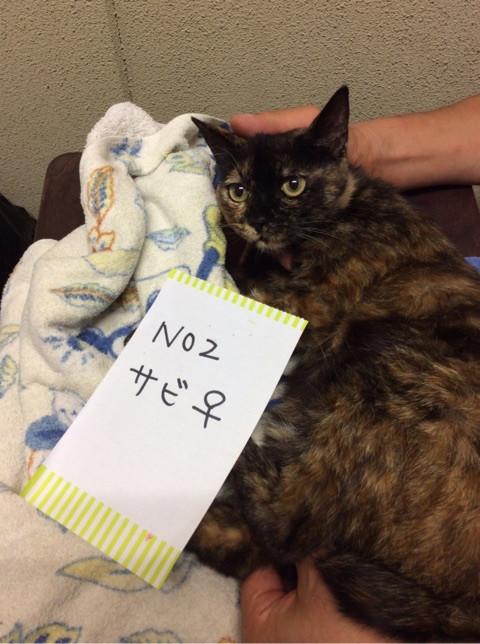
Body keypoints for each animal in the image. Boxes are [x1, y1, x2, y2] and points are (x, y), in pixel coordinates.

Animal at [187, 87, 480, 642]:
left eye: (293, 185)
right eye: (239, 189)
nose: (257, 219)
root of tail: (460, 610)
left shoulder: (310, 305)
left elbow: (243, 269)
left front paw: (229, 242)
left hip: (379, 362)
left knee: (283, 526)